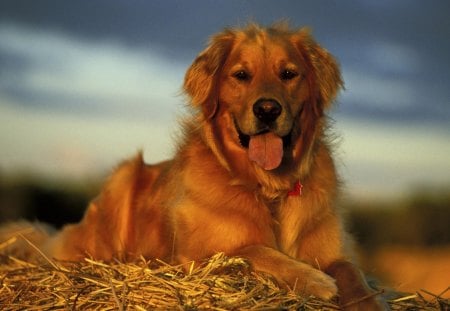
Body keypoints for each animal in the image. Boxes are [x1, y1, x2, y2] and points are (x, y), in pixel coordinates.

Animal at [0, 23, 386, 310]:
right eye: (241, 75)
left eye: (289, 73)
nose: (267, 110)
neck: (266, 187)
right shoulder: (194, 257)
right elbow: (253, 250)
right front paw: (315, 280)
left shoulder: (336, 251)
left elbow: (355, 276)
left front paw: (365, 299)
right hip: (120, 183)